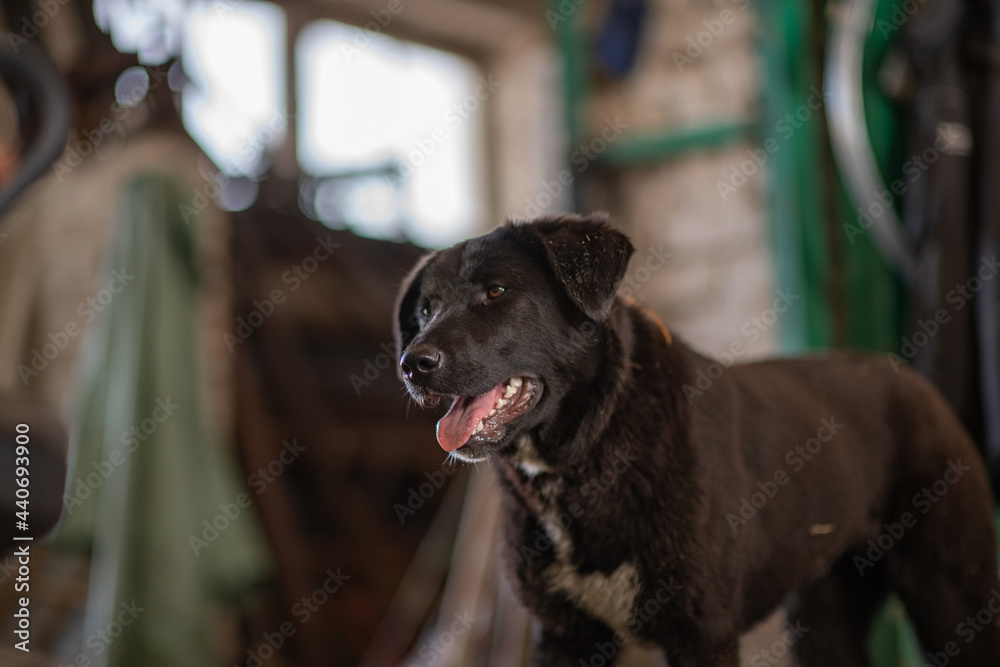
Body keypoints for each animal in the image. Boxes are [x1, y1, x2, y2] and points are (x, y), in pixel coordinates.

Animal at [392, 215, 1000, 667]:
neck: (590, 449)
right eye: (424, 309)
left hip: (952, 594)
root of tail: (909, 376)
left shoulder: (702, 632)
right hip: (824, 611)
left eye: (496, 291)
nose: (410, 364)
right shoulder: (565, 634)